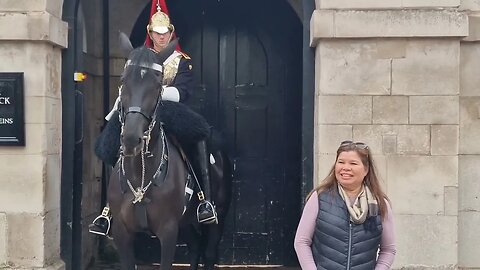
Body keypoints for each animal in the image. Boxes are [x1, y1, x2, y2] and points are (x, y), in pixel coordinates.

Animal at [107, 33, 231, 270]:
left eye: (157, 85)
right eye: (123, 81)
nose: (131, 139)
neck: (141, 175)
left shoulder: (168, 230)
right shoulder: (121, 233)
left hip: (218, 213)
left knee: (209, 252)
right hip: (186, 222)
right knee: (195, 248)